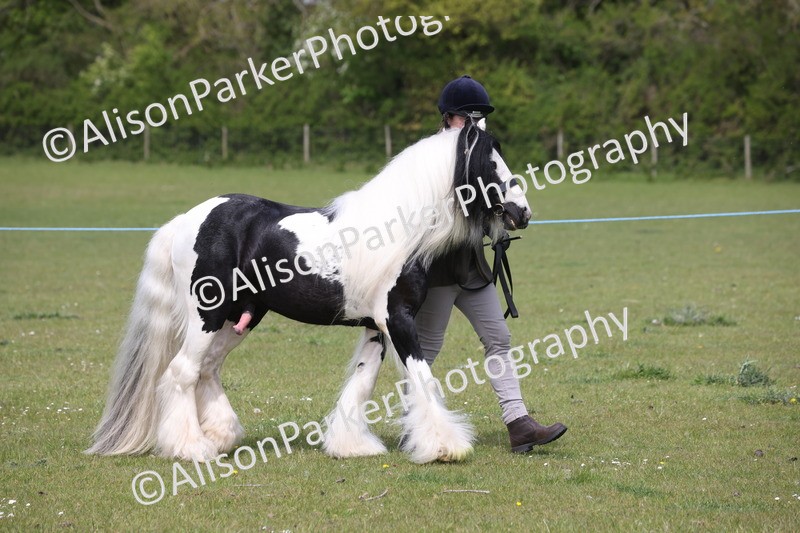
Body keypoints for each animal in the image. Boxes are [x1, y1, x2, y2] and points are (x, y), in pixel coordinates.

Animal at [86, 122, 531, 464]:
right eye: (491, 163)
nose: (522, 212)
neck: (398, 231)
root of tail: (184, 221)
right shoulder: (398, 319)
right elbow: (423, 378)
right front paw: (446, 447)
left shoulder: (375, 326)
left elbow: (362, 381)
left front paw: (352, 446)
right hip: (207, 316)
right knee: (182, 373)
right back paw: (193, 448)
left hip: (240, 318)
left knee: (207, 370)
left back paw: (222, 435)